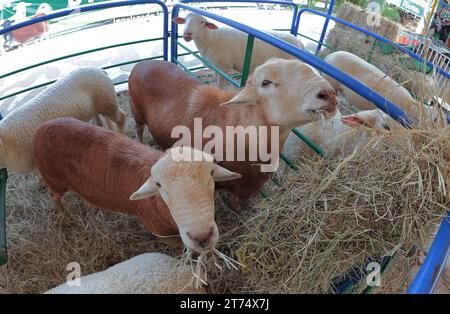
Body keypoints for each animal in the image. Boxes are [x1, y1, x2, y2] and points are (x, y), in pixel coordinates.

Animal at [33, 118, 241, 253]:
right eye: (159, 185)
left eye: (211, 173)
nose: (202, 237)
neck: (158, 204)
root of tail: (41, 128)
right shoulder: (165, 236)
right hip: (54, 179)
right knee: (55, 197)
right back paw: (64, 216)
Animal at [174, 12, 304, 87]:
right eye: (185, 20)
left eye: (202, 22)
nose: (187, 34)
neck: (211, 38)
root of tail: (299, 43)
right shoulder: (216, 66)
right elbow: (216, 80)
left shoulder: (224, 67)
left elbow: (221, 85)